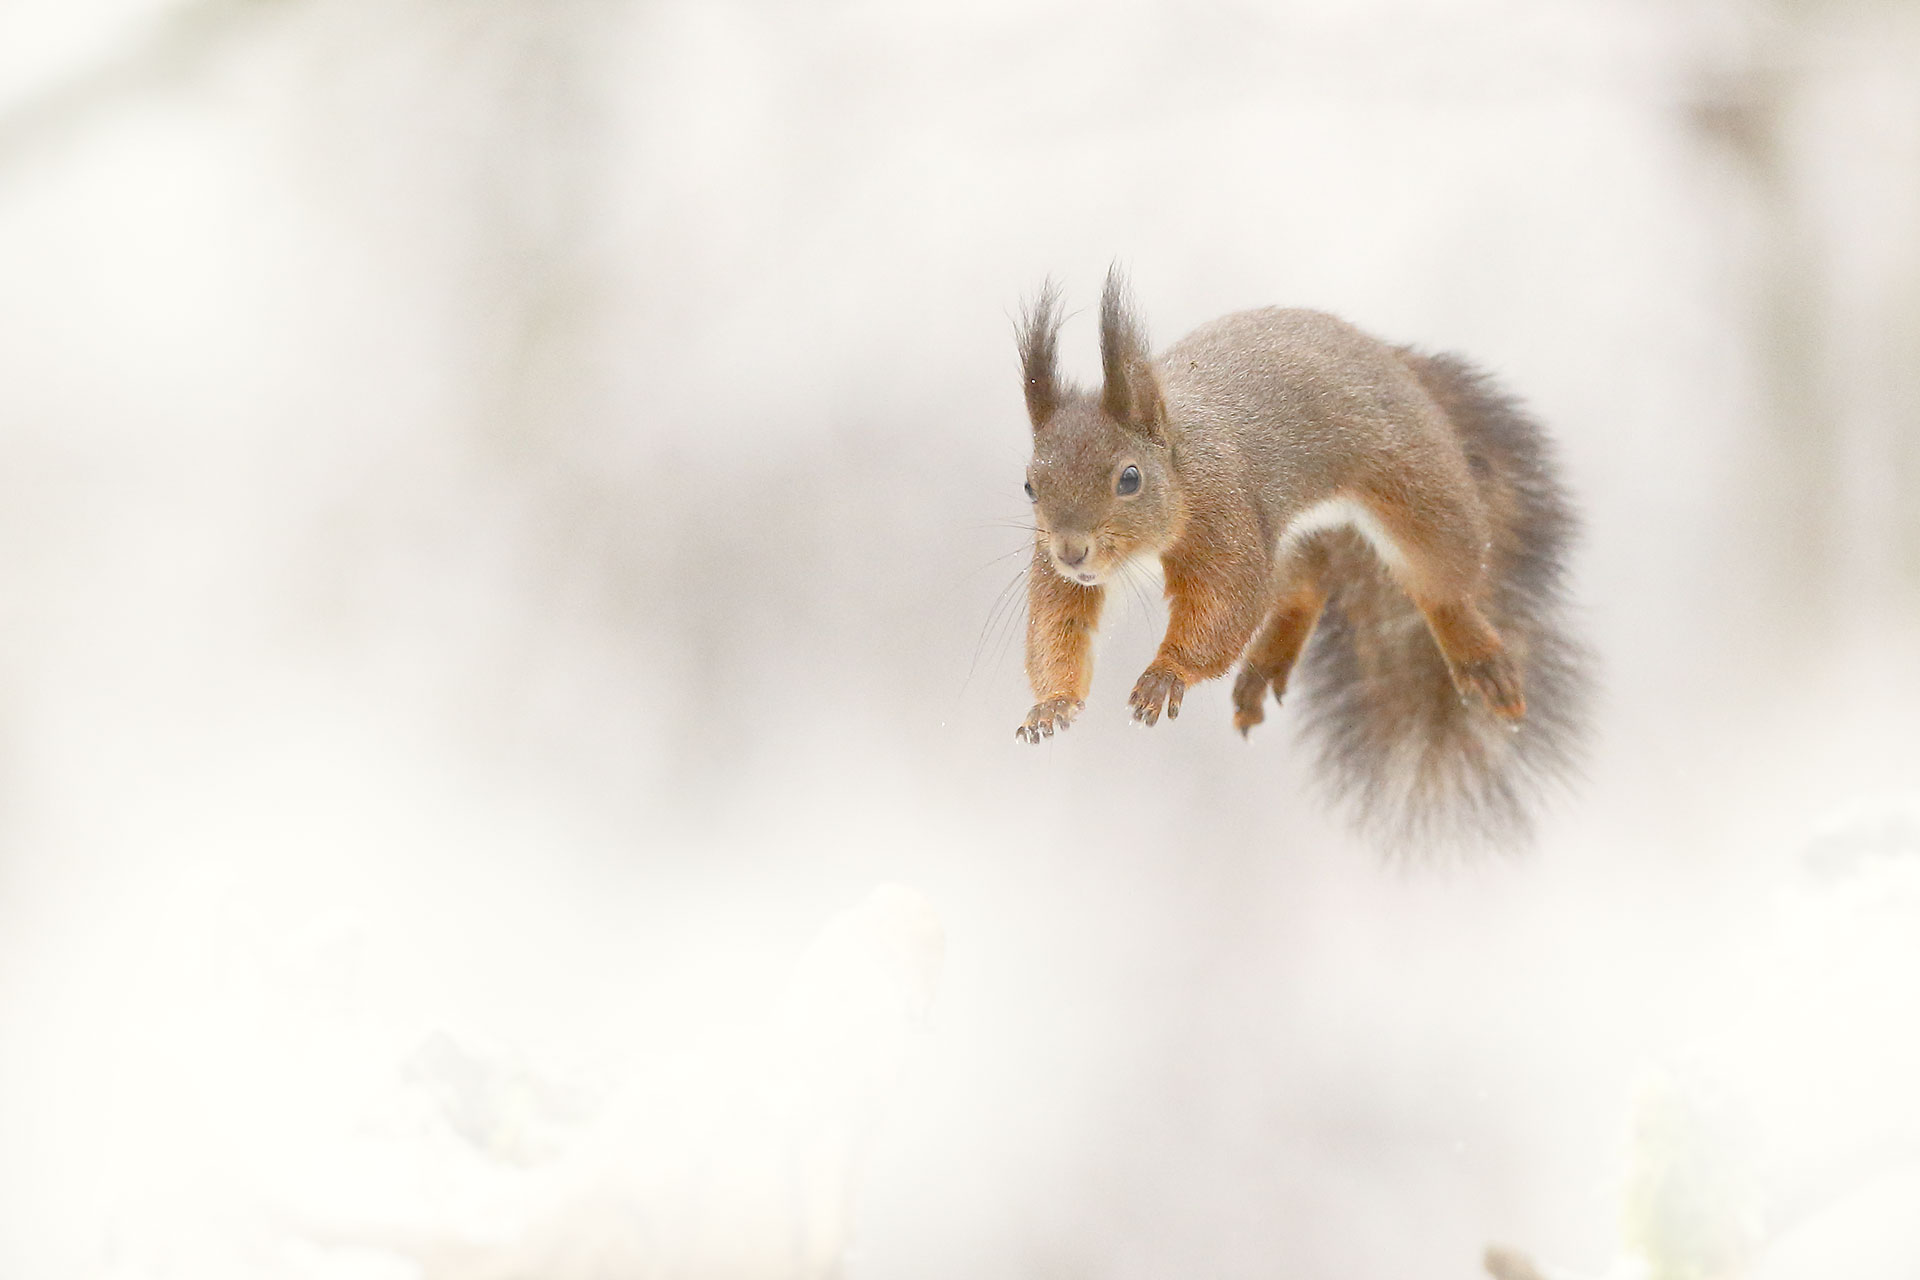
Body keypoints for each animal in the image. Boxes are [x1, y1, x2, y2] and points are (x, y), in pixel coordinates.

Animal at [1010, 269, 1590, 848]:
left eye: (1129, 478)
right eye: (1030, 486)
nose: (1072, 551)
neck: (1179, 458)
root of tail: (1392, 356)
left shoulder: (1224, 514)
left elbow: (1226, 601)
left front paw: (1165, 674)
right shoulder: (1056, 569)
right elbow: (1058, 624)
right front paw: (1052, 705)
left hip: (1417, 488)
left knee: (1441, 581)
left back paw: (1476, 653)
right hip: (1285, 539)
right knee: (1303, 587)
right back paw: (1265, 663)